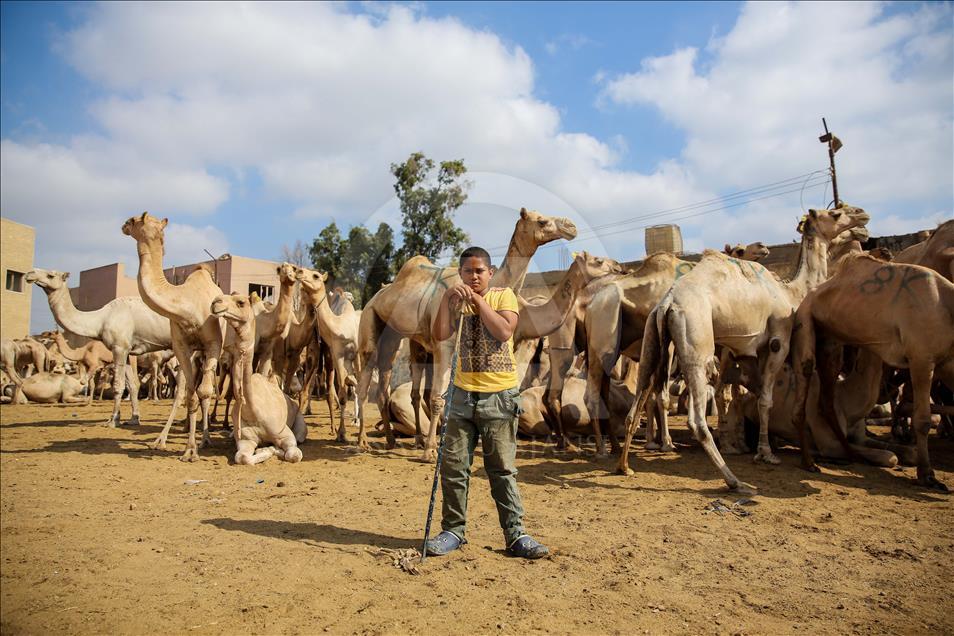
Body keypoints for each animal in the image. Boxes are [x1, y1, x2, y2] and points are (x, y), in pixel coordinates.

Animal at [122, 214, 224, 462]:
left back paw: (206, 438)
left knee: (206, 390)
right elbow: (190, 394)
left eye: (135, 220)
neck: (186, 305)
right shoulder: (181, 347)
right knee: (184, 391)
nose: (123, 225)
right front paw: (189, 449)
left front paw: (198, 446)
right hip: (194, 354)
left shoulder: (214, 343)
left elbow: (204, 392)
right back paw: (162, 439)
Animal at [212, 292, 304, 462]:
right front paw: (263, 450)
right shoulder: (245, 440)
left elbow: (293, 454)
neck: (253, 410)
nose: (215, 302)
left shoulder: (286, 435)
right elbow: (242, 457)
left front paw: (269, 449)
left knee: (300, 437)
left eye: (241, 302)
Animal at [354, 206, 576, 460]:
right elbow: (438, 398)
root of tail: (375, 297)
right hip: (370, 322)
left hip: (393, 335)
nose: (571, 227)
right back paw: (362, 442)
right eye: (541, 221)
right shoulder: (444, 345)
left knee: (388, 381)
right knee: (364, 383)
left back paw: (395, 440)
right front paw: (430, 451)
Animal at [616, 206, 872, 494]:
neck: (790, 292)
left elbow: (757, 394)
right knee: (696, 419)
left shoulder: (747, 353)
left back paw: (624, 466)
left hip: (653, 340)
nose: (862, 217)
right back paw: (734, 481)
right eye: (836, 213)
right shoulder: (777, 342)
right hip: (697, 343)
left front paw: (757, 445)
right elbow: (765, 399)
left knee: (636, 405)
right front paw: (766, 453)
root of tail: (668, 303)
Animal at [788, 253, 952, 492]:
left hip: (831, 341)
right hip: (805, 320)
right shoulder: (922, 358)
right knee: (806, 374)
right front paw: (927, 476)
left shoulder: (947, 363)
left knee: (827, 399)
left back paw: (850, 454)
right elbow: (922, 419)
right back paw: (809, 461)